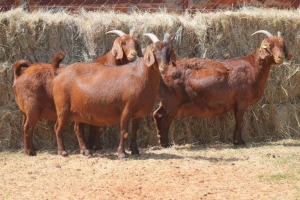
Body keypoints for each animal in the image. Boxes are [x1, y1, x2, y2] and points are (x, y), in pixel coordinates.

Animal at [12, 29, 142, 156]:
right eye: (123, 43)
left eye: (135, 43)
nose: (133, 54)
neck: (108, 63)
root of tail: (20, 74)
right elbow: (96, 127)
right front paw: (94, 146)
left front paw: (93, 146)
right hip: (32, 107)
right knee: (28, 127)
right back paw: (30, 152)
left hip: (25, 110)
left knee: (24, 126)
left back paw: (31, 149)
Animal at [152, 30, 290, 148]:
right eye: (269, 46)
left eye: (282, 45)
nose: (281, 57)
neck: (252, 66)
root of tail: (163, 70)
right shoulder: (241, 101)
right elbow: (240, 121)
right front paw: (239, 141)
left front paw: (237, 141)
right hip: (172, 101)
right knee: (165, 119)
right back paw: (166, 143)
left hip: (166, 101)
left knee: (157, 114)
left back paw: (161, 141)